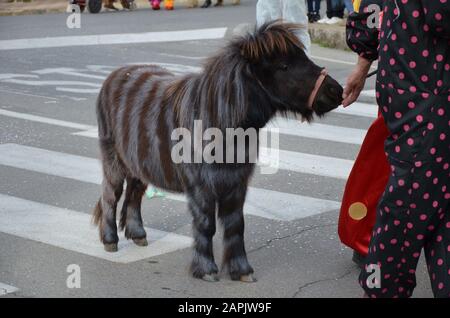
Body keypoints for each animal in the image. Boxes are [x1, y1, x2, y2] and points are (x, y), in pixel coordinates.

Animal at [93, 21, 342, 282]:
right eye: (284, 66)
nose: (337, 91)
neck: (218, 120)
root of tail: (117, 74)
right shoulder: (201, 187)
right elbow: (206, 225)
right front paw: (206, 269)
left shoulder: (236, 184)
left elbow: (235, 226)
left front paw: (241, 271)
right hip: (113, 161)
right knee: (110, 195)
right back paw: (110, 241)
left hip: (139, 165)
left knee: (134, 195)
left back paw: (138, 235)